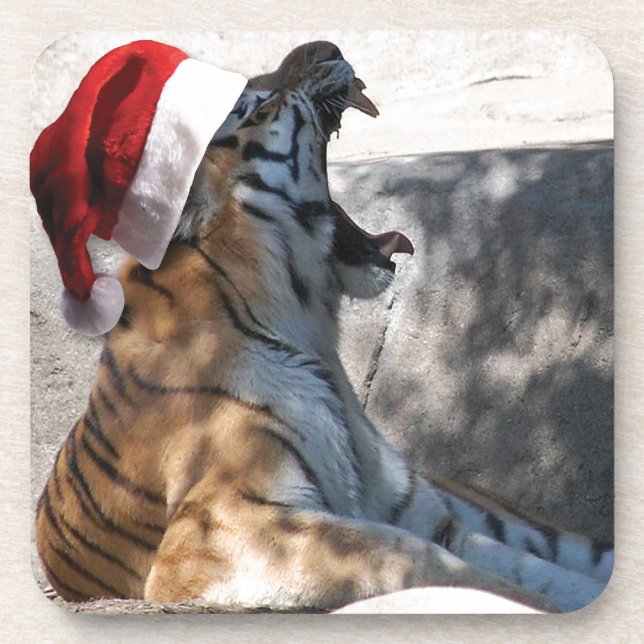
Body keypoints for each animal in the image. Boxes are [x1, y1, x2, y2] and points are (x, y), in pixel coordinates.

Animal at [35, 40, 613, 613]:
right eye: (257, 105)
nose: (326, 48)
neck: (309, 331)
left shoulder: (424, 513)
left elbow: (529, 570)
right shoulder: (219, 527)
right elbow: (415, 558)